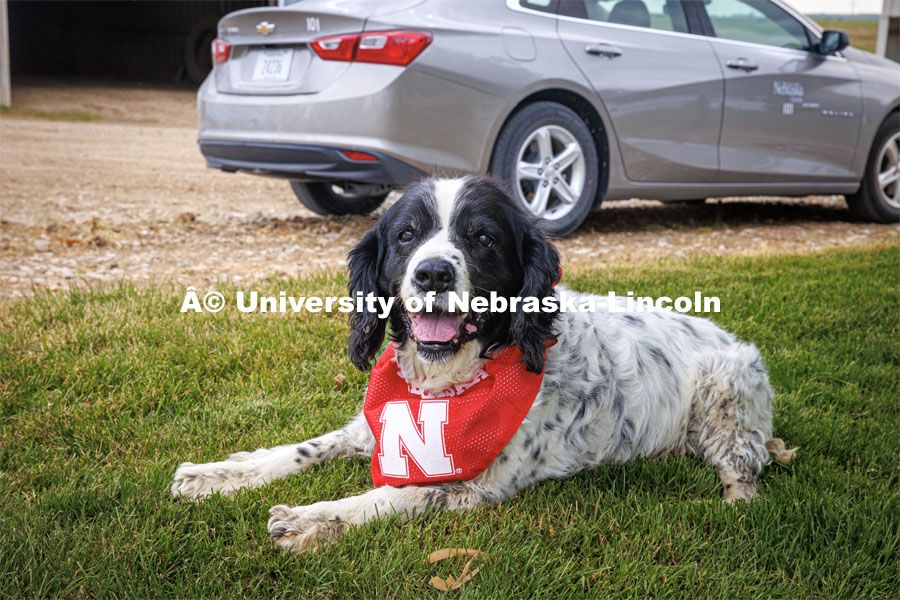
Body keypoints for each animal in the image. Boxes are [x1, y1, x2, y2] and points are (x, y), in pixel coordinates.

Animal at [172, 177, 776, 552]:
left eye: (483, 237)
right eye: (406, 235)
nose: (433, 273)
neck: (446, 380)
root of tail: (731, 337)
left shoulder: (475, 485)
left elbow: (391, 495)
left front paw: (312, 519)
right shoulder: (374, 426)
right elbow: (299, 450)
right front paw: (216, 474)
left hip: (727, 394)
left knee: (746, 469)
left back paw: (736, 503)